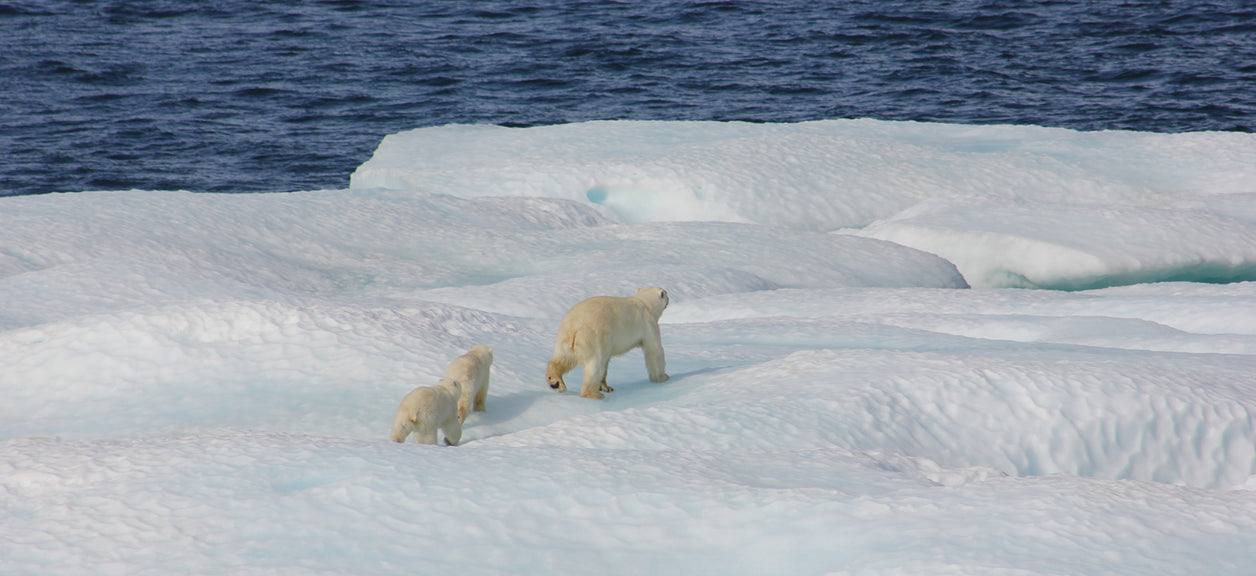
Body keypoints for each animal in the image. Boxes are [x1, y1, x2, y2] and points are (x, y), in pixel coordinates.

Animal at [545, 286, 673, 399]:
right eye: (665, 293)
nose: (669, 297)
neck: (645, 303)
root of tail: (574, 324)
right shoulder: (648, 324)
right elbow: (654, 350)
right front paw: (662, 377)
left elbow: (607, 361)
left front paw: (606, 387)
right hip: (593, 337)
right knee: (594, 365)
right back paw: (595, 394)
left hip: (565, 338)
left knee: (564, 358)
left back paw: (555, 382)